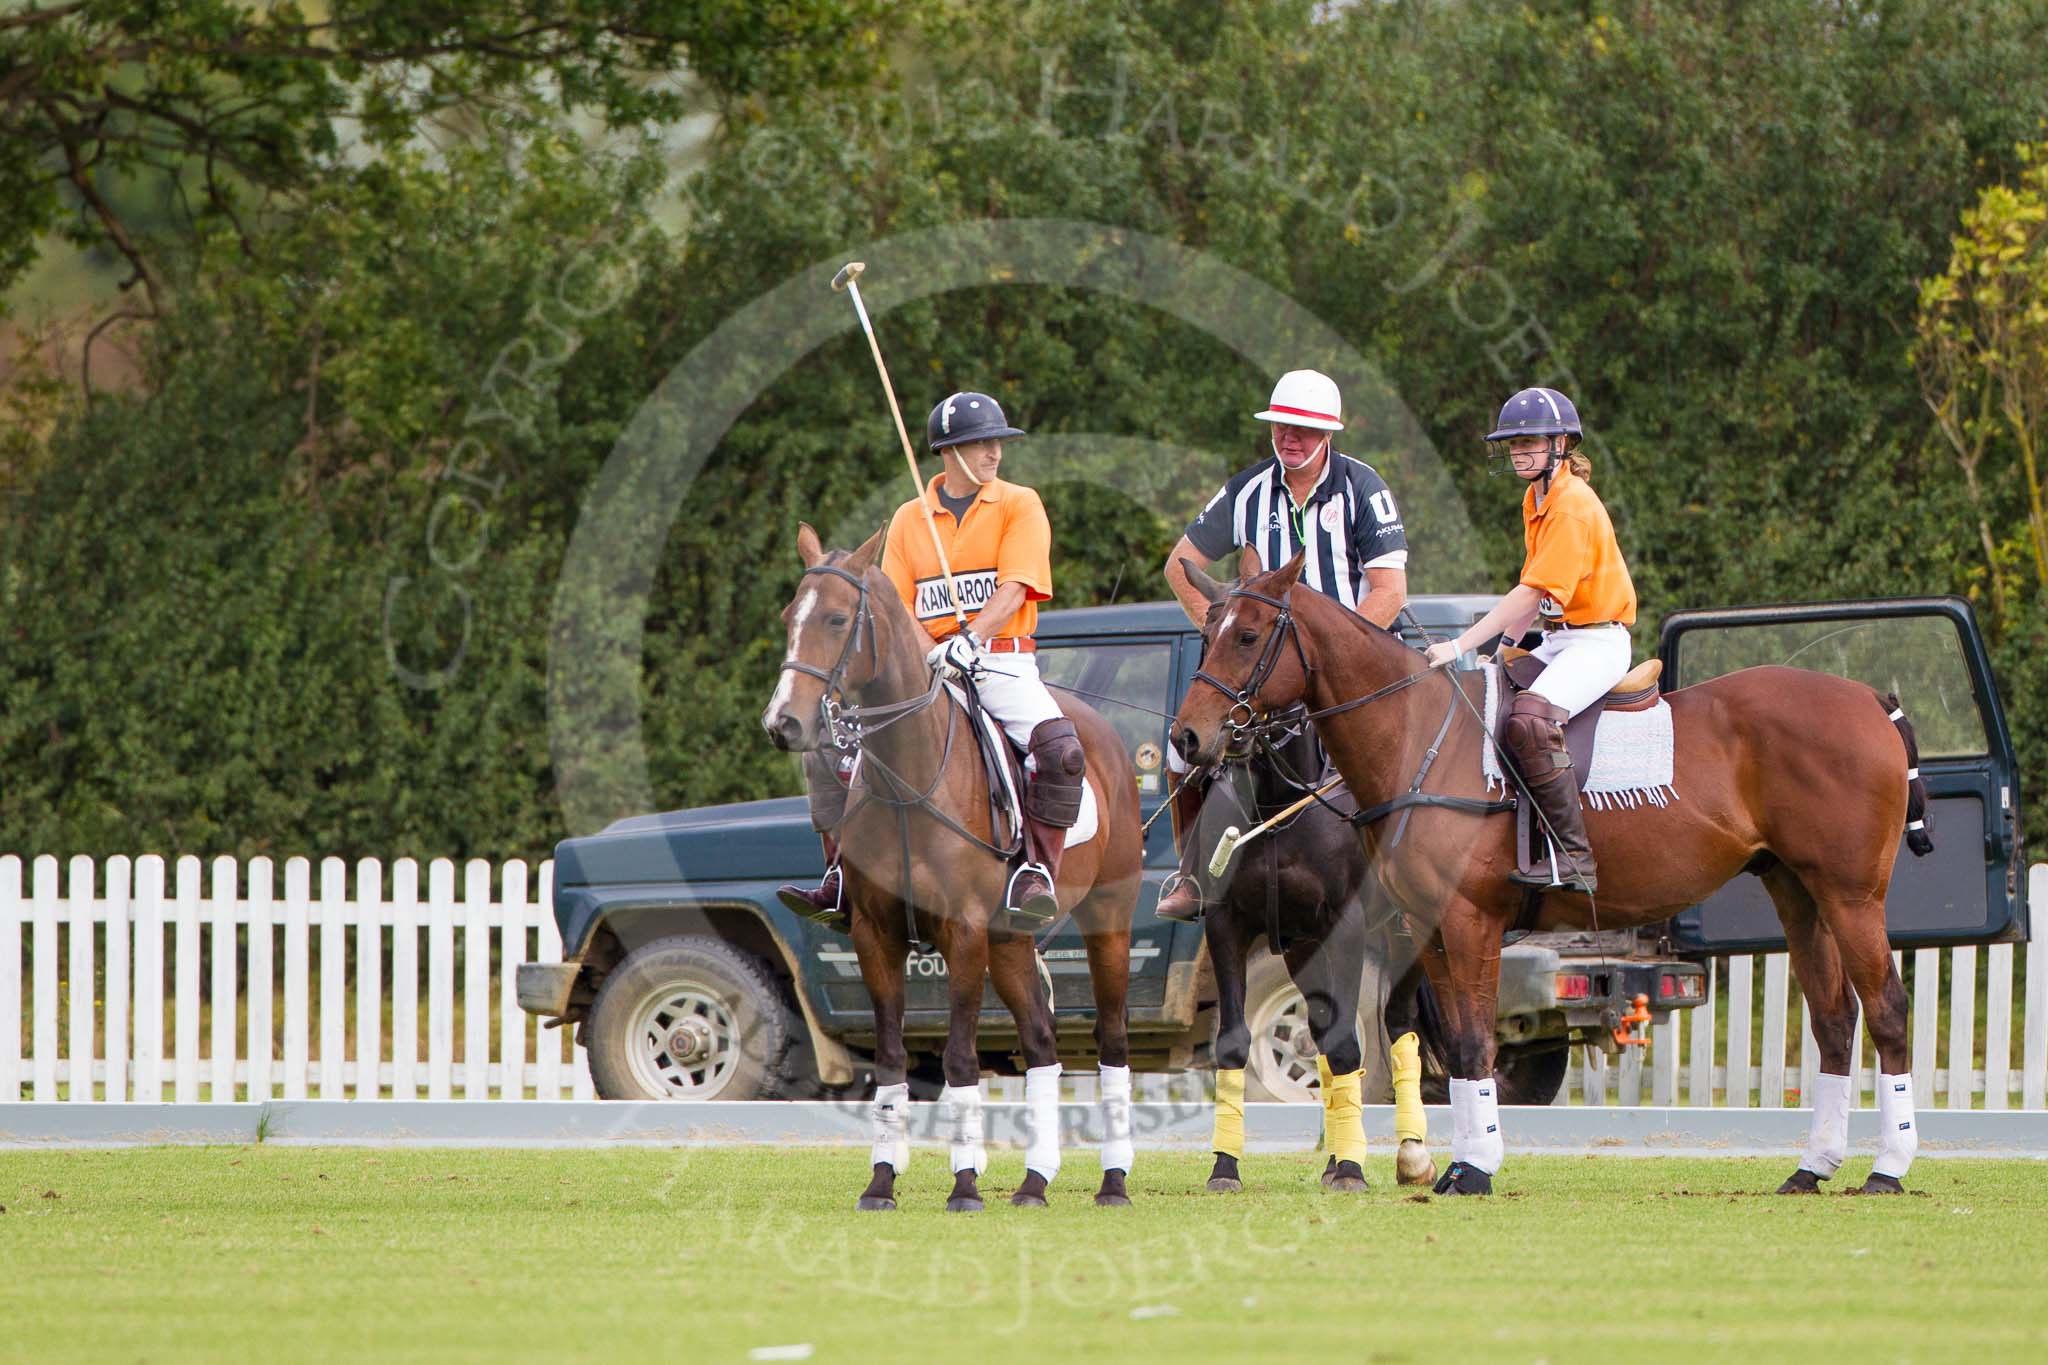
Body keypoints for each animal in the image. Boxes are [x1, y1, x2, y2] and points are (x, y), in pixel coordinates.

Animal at [770, 519, 1155, 1203]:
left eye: (839, 619)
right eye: (791, 616)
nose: (782, 722)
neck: (909, 777)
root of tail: (1105, 734)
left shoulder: (964, 931)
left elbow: (959, 1059)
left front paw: (965, 1187)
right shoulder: (876, 934)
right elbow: (892, 1059)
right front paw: (881, 1181)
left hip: (1107, 917)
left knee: (1112, 1040)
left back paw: (1113, 1179)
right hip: (1011, 940)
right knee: (1042, 1043)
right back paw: (1035, 1180)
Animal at [1171, 556, 1933, 1195]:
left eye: (1247, 636)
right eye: (1206, 632)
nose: (1187, 737)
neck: (1417, 732)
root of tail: (1871, 700)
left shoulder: (1469, 918)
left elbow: (1473, 1039)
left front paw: (1476, 1168)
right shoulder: (1428, 923)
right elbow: (1458, 1041)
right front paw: (1459, 1165)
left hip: (1852, 893)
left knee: (1887, 1009)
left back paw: (1888, 1169)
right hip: (1797, 889)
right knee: (1835, 1020)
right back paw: (1812, 1168)